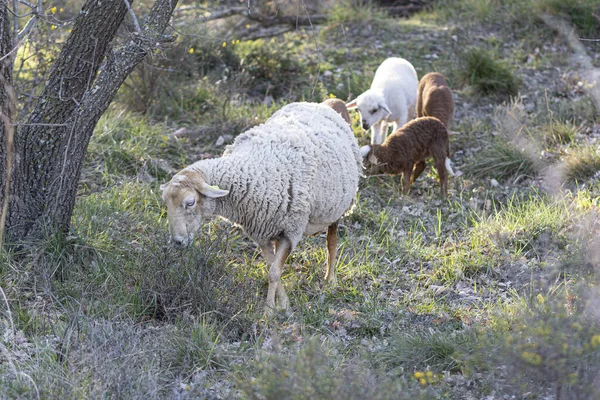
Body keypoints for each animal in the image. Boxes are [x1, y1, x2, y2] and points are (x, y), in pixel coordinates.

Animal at [159, 101, 360, 314]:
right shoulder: (262, 231)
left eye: (190, 202)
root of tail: (323, 104)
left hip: (337, 209)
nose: (177, 242)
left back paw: (330, 279)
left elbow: (274, 272)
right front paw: (282, 303)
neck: (251, 173)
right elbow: (272, 268)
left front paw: (270, 310)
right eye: (166, 203)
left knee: (332, 243)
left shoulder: (291, 230)